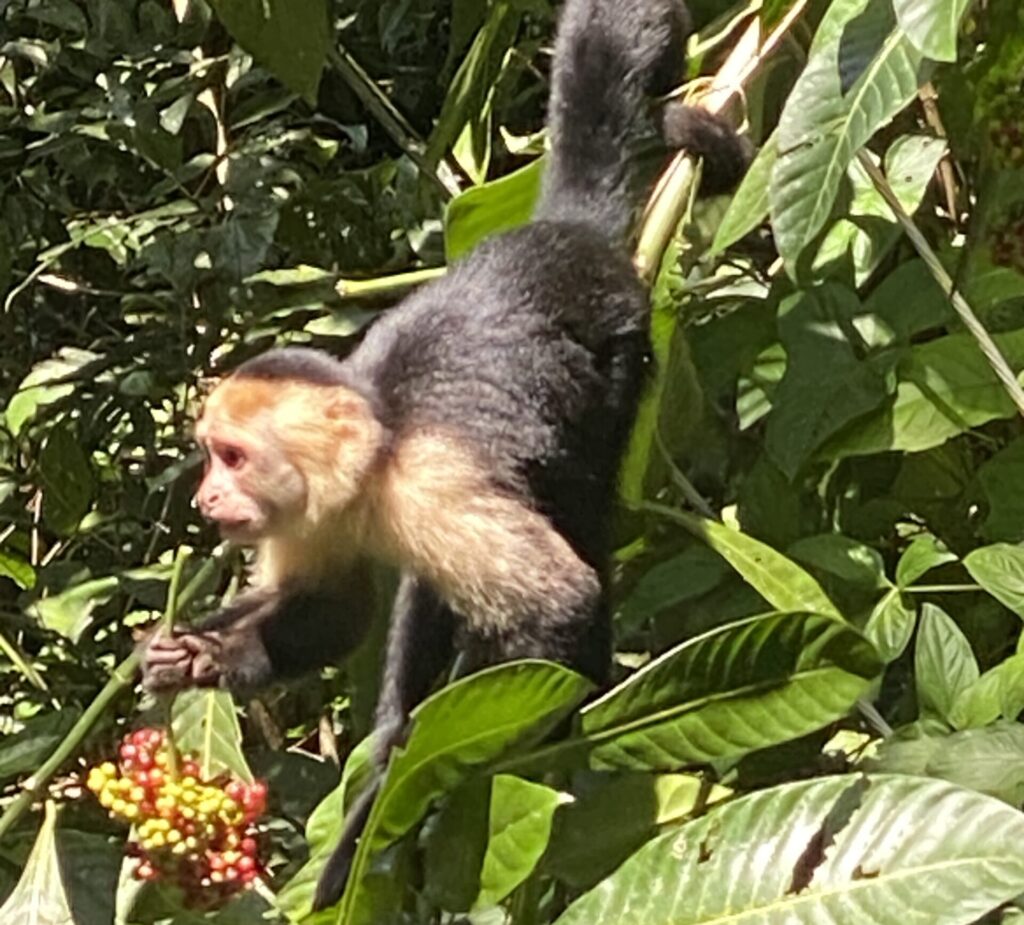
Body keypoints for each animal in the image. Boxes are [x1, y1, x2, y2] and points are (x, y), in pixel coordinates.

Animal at [144, 0, 749, 909]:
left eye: (233, 457)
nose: (207, 501)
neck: (370, 462)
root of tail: (564, 234)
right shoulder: (309, 518)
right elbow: (334, 609)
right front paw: (203, 653)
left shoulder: (427, 484)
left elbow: (557, 605)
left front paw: (455, 755)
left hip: (617, 356)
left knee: (574, 516)